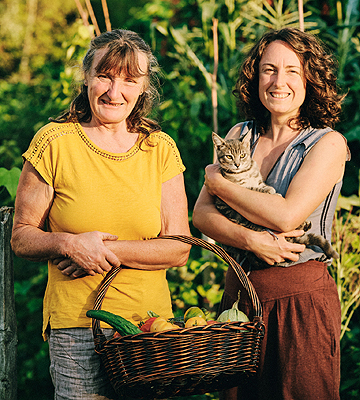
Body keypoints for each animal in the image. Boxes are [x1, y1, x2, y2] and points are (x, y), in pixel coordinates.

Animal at [212, 132, 338, 268]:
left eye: (242, 155)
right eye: (229, 156)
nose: (237, 164)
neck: (244, 172)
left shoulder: (257, 180)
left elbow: (261, 185)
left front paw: (271, 190)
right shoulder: (233, 188)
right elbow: (252, 188)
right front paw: (270, 191)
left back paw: (304, 225)